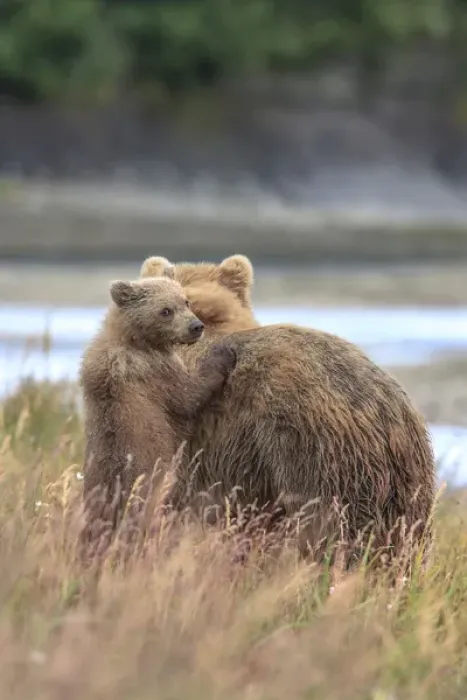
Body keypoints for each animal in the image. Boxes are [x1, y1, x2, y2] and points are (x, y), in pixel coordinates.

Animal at [79, 273, 237, 547]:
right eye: (165, 310)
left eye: (185, 301)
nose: (196, 327)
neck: (135, 339)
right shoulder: (156, 372)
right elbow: (189, 394)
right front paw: (222, 353)